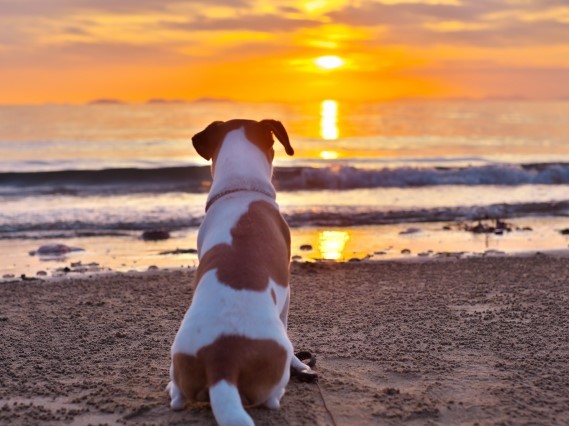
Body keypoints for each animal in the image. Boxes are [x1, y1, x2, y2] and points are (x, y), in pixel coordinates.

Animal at [166, 118, 316, 424]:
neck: (241, 189)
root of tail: (221, 362)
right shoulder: (287, 294)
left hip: (179, 356)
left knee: (178, 398)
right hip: (275, 361)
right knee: (270, 399)